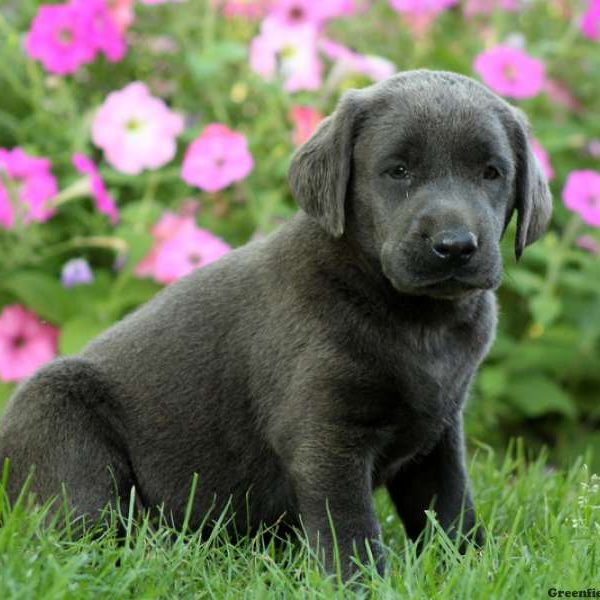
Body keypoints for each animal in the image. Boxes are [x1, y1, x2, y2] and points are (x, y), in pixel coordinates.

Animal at [0, 69, 552, 576]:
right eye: (398, 171)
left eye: (491, 173)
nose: (455, 246)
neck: (418, 317)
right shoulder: (324, 435)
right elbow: (348, 524)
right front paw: (361, 582)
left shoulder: (438, 431)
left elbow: (450, 505)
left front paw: (472, 567)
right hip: (59, 413)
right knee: (86, 531)